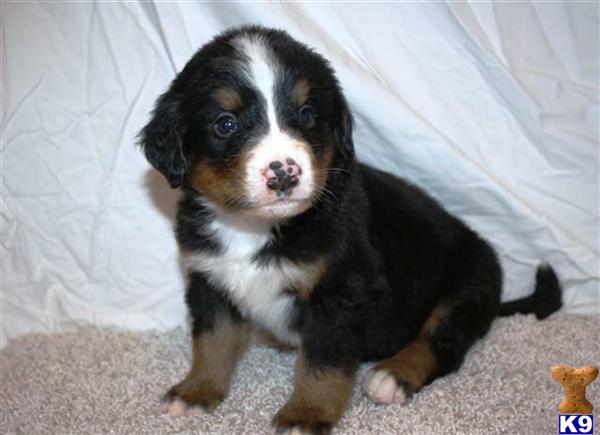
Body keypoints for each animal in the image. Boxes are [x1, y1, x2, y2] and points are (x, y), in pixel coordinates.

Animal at [137, 25, 564, 434]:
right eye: (225, 124)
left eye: (307, 114)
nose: (284, 172)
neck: (253, 228)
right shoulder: (208, 280)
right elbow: (212, 341)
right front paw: (196, 391)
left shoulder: (340, 292)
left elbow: (321, 362)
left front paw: (306, 415)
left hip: (467, 284)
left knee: (443, 343)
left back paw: (393, 374)